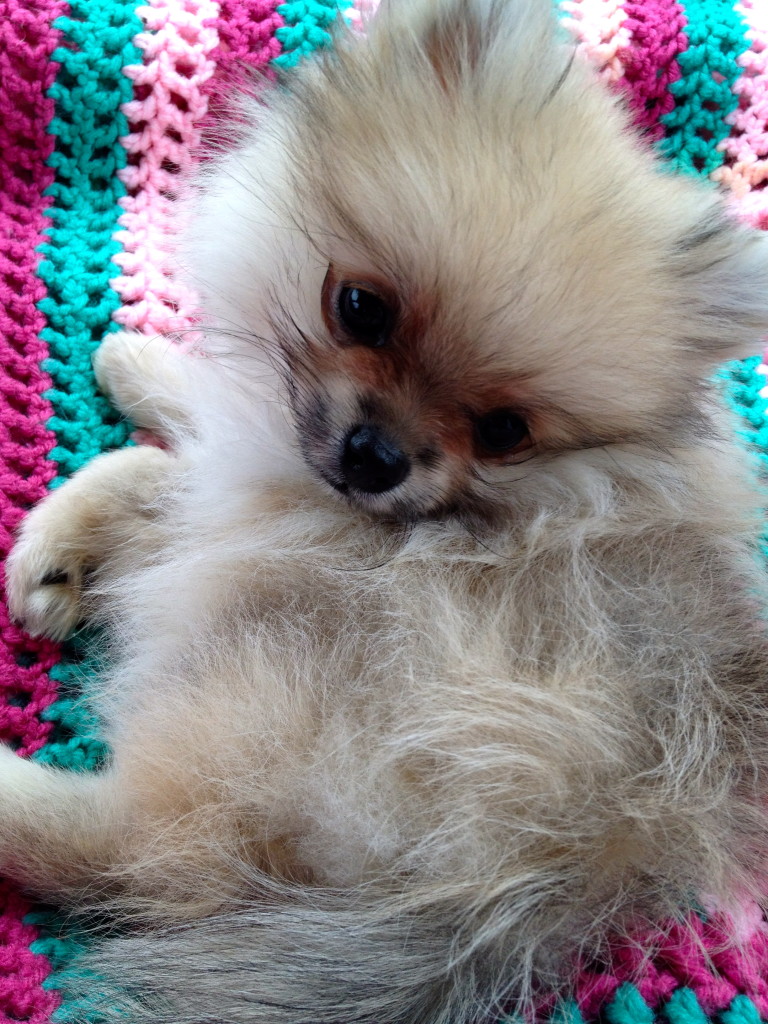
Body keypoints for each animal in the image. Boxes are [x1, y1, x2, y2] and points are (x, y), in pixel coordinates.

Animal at [4, 0, 768, 1019]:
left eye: (505, 431)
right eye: (361, 307)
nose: (377, 459)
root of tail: (593, 843)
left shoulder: (268, 506)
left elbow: (162, 462)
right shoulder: (256, 474)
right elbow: (162, 455)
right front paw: (129, 386)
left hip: (272, 677)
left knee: (145, 852)